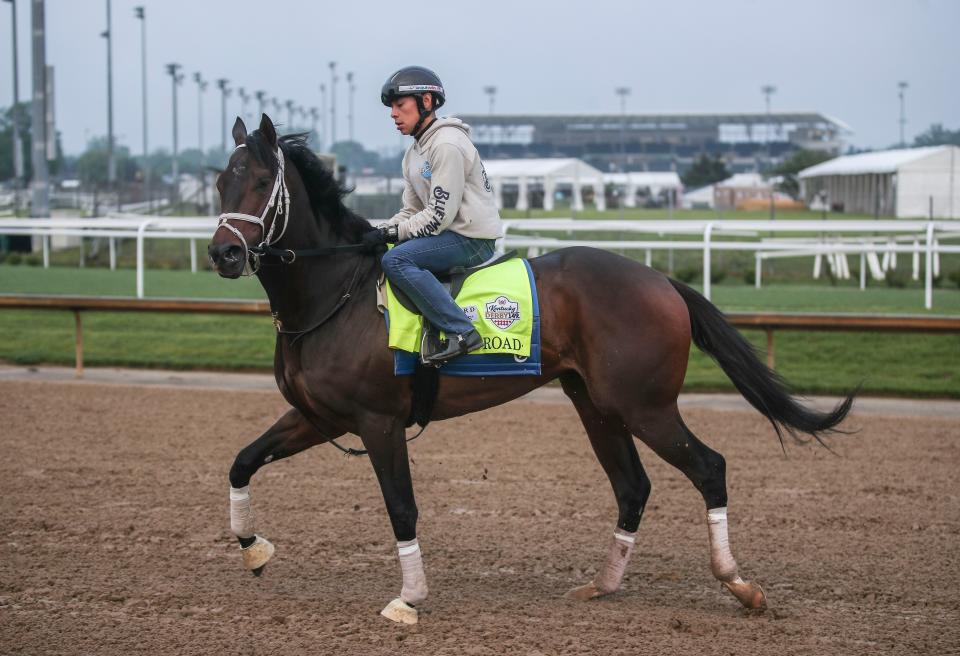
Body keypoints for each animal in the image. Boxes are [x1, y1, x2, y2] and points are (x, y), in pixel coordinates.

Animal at [210, 116, 856, 624]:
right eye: (220, 181)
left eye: (262, 182)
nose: (223, 253)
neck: (334, 296)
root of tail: (662, 281)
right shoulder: (318, 416)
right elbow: (242, 462)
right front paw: (253, 547)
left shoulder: (377, 422)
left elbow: (401, 507)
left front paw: (409, 599)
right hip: (597, 404)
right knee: (633, 486)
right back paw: (603, 584)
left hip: (644, 406)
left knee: (709, 468)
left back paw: (739, 585)